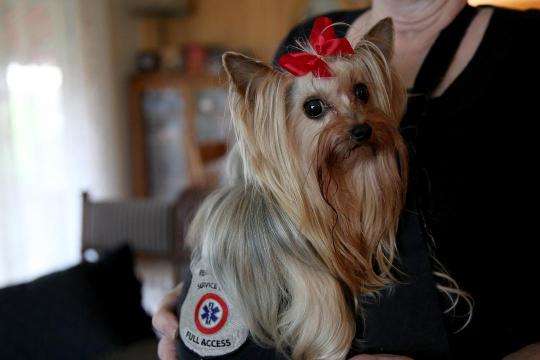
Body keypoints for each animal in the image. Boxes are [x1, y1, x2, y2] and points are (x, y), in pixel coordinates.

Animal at [179, 16, 408, 360]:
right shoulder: (306, 279)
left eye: (362, 91)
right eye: (313, 108)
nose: (362, 130)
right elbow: (325, 320)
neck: (338, 178)